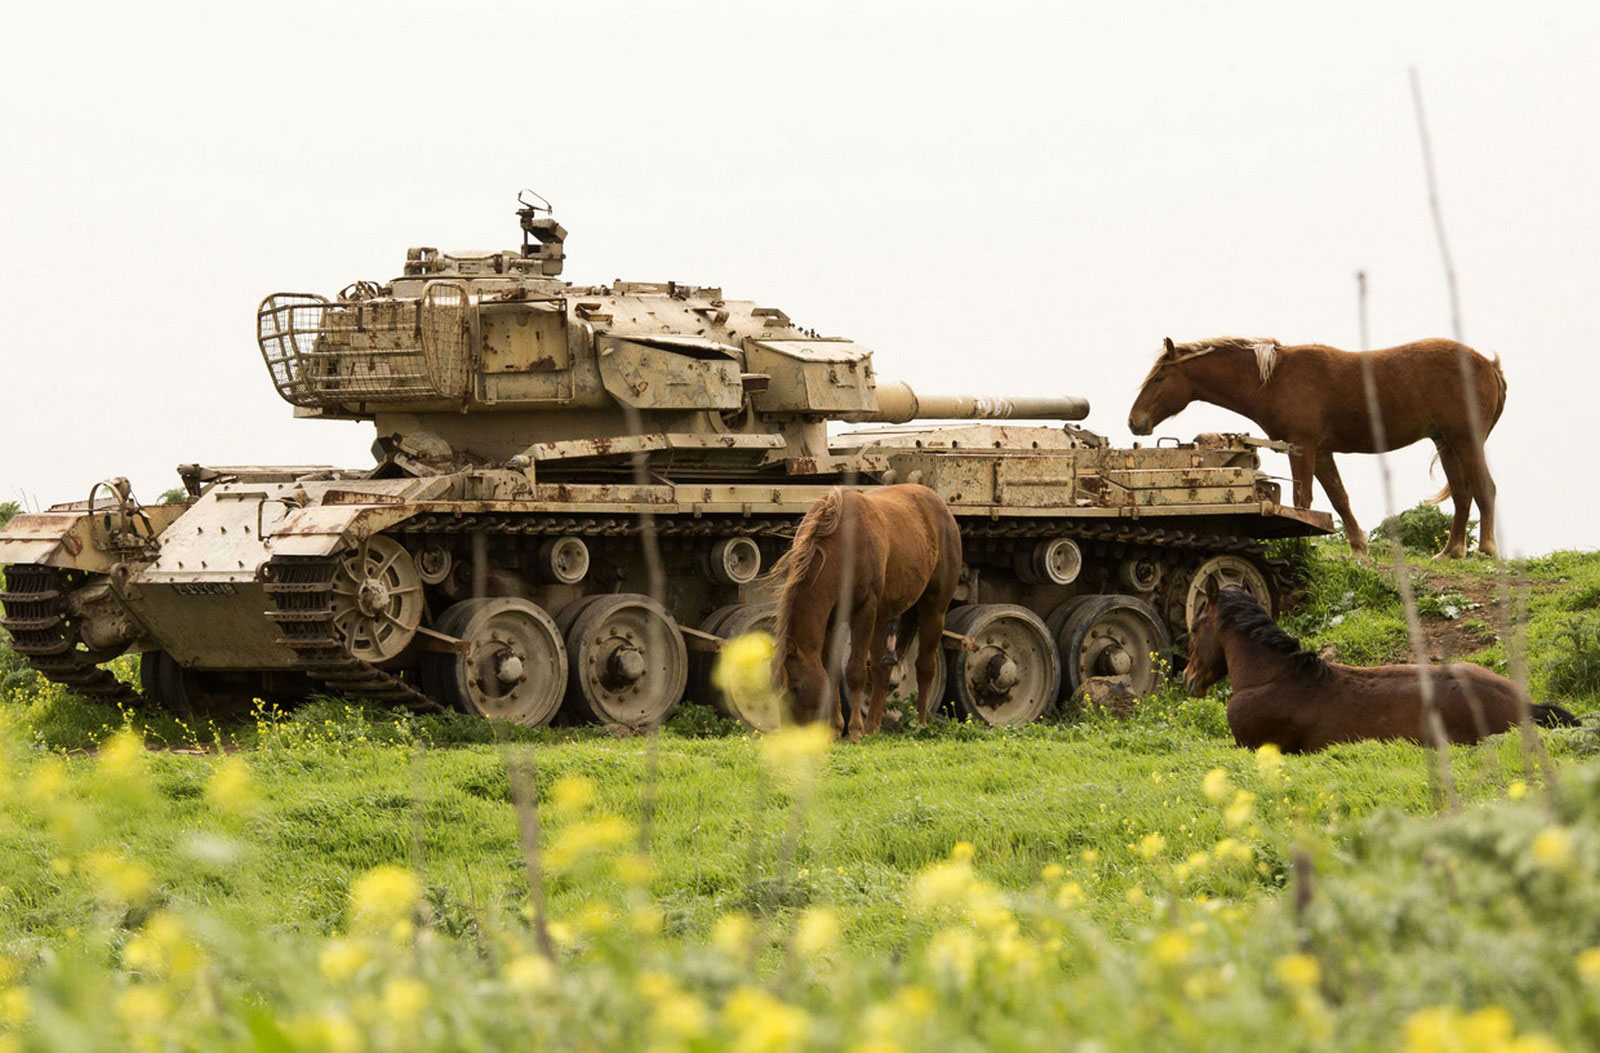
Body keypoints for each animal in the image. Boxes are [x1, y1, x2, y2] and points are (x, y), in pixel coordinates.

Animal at [774, 483, 960, 739]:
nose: (790, 736)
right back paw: (873, 726)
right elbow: (832, 670)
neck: (842, 543)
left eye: (795, 686)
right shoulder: (833, 617)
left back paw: (920, 723)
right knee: (882, 670)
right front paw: (836, 728)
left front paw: (854, 731)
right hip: (883, 618)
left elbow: (854, 671)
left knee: (925, 667)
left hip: (934, 611)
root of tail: (940, 505)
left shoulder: (865, 610)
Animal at [1126, 340, 1497, 563]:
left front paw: (1302, 546)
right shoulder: (1320, 452)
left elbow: (1301, 500)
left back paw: (1487, 548)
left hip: (1466, 440)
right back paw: (1451, 552)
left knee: (1484, 489)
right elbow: (1338, 498)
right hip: (1446, 443)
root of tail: (1490, 365)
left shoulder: (1302, 447)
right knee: (1462, 494)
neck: (1274, 380)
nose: (1134, 421)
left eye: (1160, 377)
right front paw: (1358, 548)